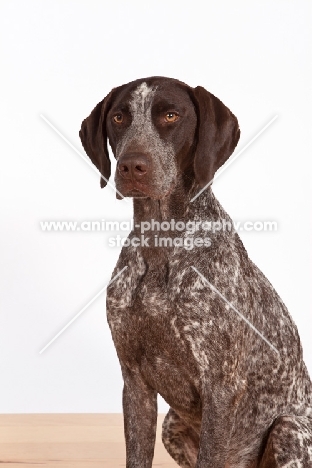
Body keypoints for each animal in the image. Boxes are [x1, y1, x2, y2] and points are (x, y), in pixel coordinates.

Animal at [80, 77, 312, 468]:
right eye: (119, 117)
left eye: (171, 116)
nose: (131, 166)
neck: (161, 244)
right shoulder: (135, 383)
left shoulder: (220, 387)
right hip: (171, 423)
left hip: (289, 429)